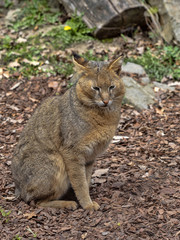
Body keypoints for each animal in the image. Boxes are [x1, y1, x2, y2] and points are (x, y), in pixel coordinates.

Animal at [11, 54, 124, 210]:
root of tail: (18, 189)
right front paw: (87, 204)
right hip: (55, 162)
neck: (104, 116)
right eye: (96, 88)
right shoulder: (72, 152)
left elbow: (85, 179)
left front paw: (86, 200)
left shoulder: (90, 156)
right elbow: (80, 182)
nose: (106, 101)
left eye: (111, 87)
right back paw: (67, 203)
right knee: (35, 202)